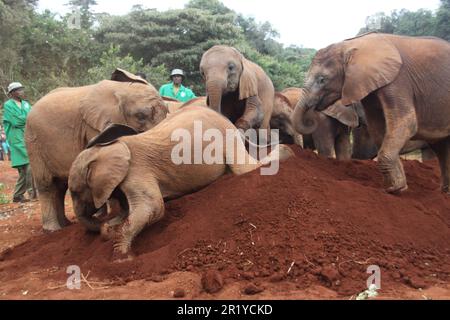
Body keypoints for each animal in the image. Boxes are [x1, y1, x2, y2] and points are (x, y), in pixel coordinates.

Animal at [25, 69, 169, 231]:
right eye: (141, 116)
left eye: (167, 112)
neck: (121, 91)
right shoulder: (92, 126)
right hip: (33, 142)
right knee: (46, 184)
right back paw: (53, 229)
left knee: (60, 187)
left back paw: (66, 225)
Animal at [67, 105, 292, 260]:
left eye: (76, 191)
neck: (104, 150)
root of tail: (228, 121)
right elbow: (128, 212)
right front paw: (109, 231)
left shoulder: (136, 171)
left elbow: (153, 208)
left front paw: (121, 258)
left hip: (227, 138)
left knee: (244, 169)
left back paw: (287, 153)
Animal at [292, 33, 450, 192]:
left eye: (322, 79)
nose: (310, 119)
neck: (352, 45)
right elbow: (378, 127)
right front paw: (395, 186)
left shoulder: (398, 81)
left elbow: (407, 124)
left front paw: (395, 189)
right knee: (441, 147)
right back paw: (444, 191)